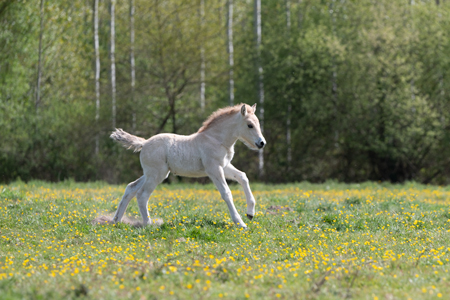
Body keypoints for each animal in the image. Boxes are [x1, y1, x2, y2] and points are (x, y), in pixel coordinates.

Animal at [110, 103, 266, 227]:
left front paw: (250, 213)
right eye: (250, 125)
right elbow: (226, 193)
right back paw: (148, 224)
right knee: (142, 194)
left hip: (151, 173)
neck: (216, 139)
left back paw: (116, 221)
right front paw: (241, 223)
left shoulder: (225, 166)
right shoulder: (214, 169)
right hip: (156, 174)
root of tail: (144, 142)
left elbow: (243, 177)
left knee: (131, 188)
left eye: (258, 123)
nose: (261, 143)